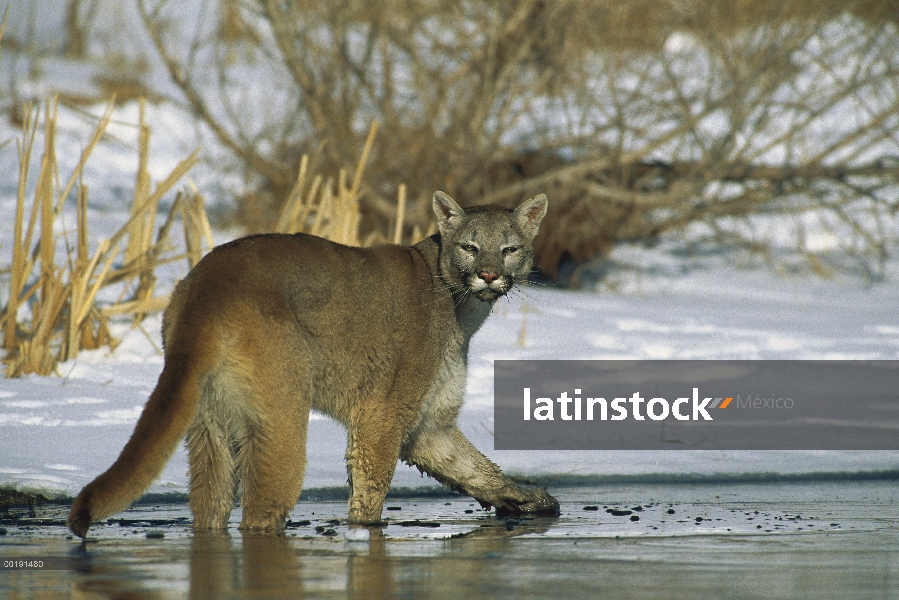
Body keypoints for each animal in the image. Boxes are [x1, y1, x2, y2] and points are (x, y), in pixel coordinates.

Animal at [70, 190, 560, 536]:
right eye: (471, 248)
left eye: (510, 249)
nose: (490, 275)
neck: (459, 307)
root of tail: (208, 282)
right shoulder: (383, 414)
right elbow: (370, 487)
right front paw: (364, 529)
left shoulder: (429, 425)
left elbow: (475, 467)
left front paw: (530, 499)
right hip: (282, 413)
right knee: (261, 509)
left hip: (209, 421)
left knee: (210, 507)